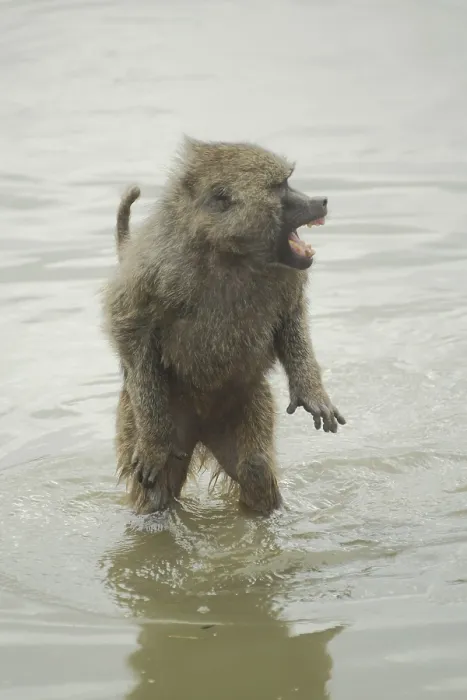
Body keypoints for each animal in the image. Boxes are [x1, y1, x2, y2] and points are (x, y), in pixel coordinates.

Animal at [102, 137, 346, 515]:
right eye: (280, 186)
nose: (320, 201)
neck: (227, 250)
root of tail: (201, 428)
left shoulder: (286, 276)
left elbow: (290, 317)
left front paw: (312, 393)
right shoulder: (155, 270)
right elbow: (132, 335)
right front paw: (154, 442)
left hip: (242, 404)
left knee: (255, 470)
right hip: (151, 413)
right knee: (157, 489)